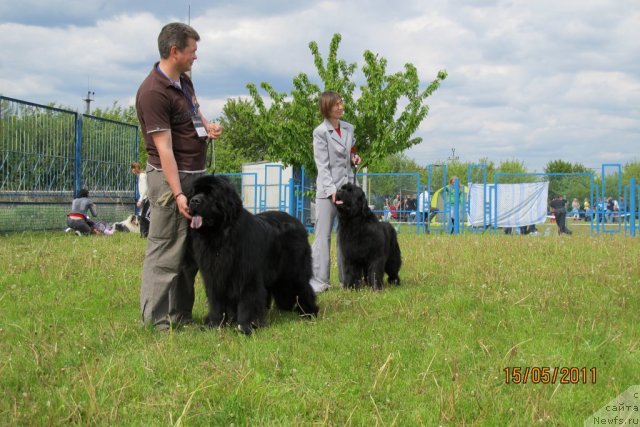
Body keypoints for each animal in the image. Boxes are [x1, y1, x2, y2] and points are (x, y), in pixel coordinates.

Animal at [188, 176, 318, 336]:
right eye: (194, 192)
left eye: (210, 193)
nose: (193, 201)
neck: (220, 236)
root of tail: (298, 223)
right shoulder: (214, 276)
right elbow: (216, 301)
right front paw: (215, 323)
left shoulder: (247, 276)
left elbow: (249, 300)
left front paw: (246, 326)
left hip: (293, 271)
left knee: (303, 288)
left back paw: (309, 312)